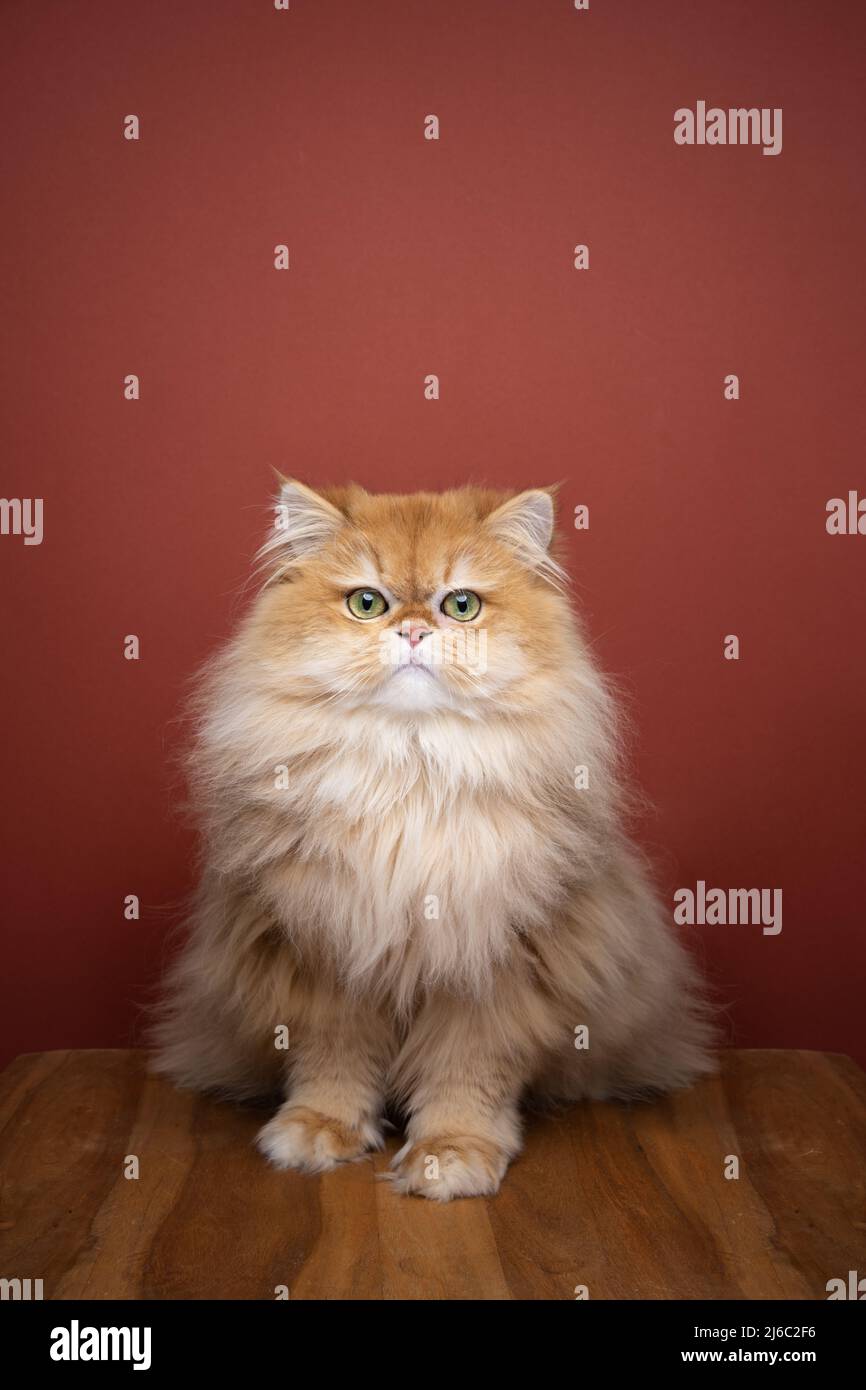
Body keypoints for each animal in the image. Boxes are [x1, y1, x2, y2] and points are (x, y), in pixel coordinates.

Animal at [150, 478, 717, 1195]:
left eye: (462, 605)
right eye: (367, 603)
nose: (415, 630)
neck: (410, 770)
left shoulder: (492, 968)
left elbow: (464, 1075)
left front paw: (450, 1155)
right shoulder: (328, 955)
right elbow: (333, 1063)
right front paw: (318, 1131)